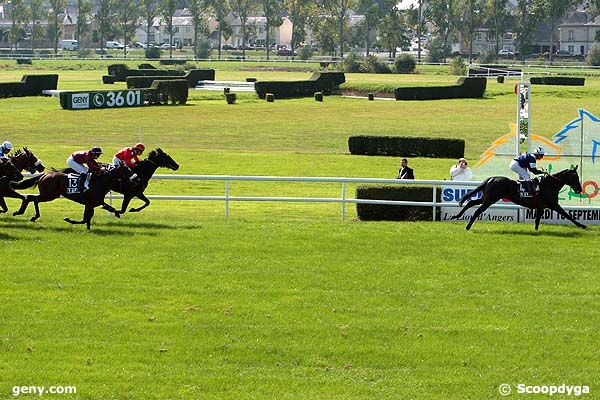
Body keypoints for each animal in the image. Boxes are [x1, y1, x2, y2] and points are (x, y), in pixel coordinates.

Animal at [452, 166, 584, 231]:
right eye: (575, 177)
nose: (579, 190)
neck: (549, 184)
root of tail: (491, 178)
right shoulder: (553, 204)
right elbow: (567, 215)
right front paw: (582, 225)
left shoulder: (541, 207)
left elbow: (537, 221)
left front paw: (536, 231)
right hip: (490, 199)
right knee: (478, 210)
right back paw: (468, 226)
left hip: (486, 197)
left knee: (471, 202)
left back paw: (456, 216)